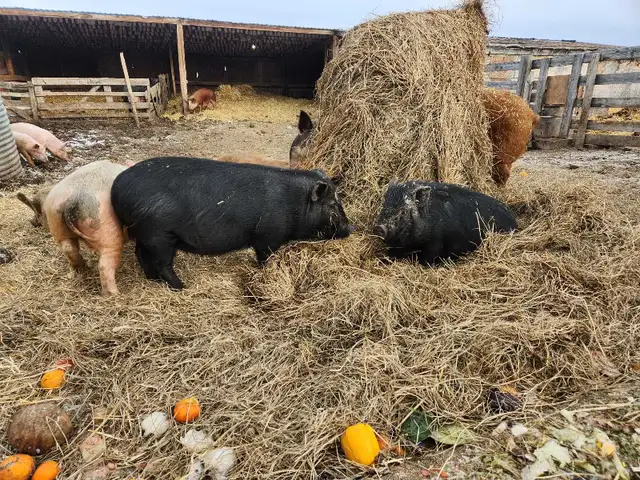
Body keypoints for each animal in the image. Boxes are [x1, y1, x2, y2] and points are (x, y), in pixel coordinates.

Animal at [16, 160, 128, 295]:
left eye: (37, 212)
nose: (32, 222)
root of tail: (74, 198)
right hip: (106, 230)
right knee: (105, 265)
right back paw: (114, 294)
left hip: (58, 224)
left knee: (69, 249)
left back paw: (82, 269)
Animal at [111, 157, 352, 290]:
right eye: (332, 204)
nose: (352, 228)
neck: (295, 203)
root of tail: (116, 188)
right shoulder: (267, 237)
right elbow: (265, 257)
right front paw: (264, 271)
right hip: (159, 234)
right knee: (162, 263)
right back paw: (181, 287)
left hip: (143, 233)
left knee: (141, 254)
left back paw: (152, 280)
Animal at [374, 181, 517, 266]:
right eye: (384, 205)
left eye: (403, 211)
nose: (379, 227)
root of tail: (514, 220)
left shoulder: (435, 242)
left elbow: (427, 258)